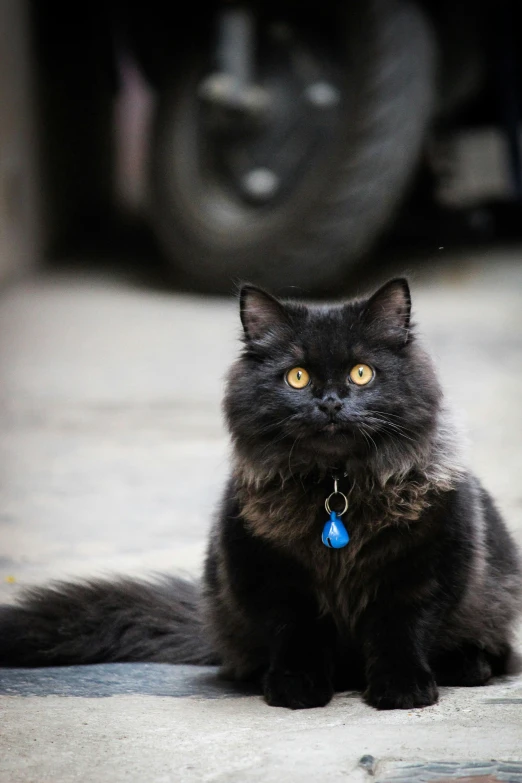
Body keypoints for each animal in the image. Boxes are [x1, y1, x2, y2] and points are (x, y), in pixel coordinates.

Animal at [1, 282, 520, 712]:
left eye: (361, 373)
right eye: (297, 377)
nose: (330, 402)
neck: (336, 493)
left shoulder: (422, 574)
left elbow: (401, 633)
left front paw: (402, 691)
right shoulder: (272, 577)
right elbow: (298, 637)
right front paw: (296, 689)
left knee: (496, 650)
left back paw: (466, 665)